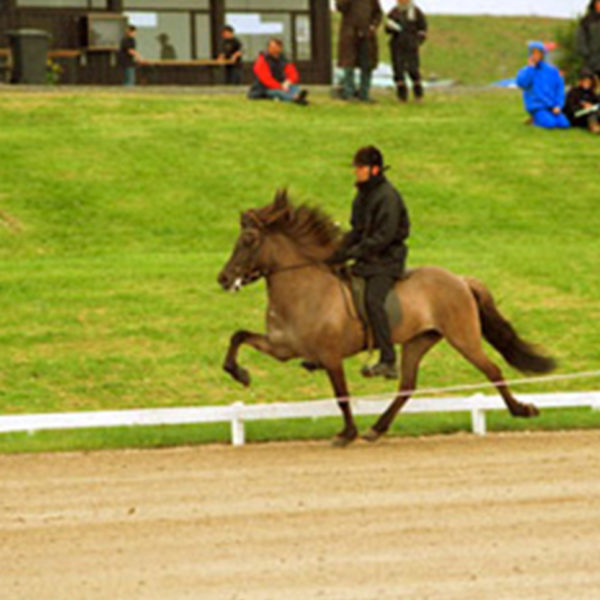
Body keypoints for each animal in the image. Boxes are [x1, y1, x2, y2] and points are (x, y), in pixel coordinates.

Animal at [218, 191, 556, 446]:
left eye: (249, 239)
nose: (224, 279)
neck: (303, 290)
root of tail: (459, 279)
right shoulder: (282, 348)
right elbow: (238, 335)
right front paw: (239, 373)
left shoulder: (330, 356)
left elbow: (342, 395)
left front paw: (346, 434)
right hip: (417, 341)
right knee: (407, 385)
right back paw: (377, 428)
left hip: (463, 337)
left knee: (493, 369)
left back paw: (521, 410)